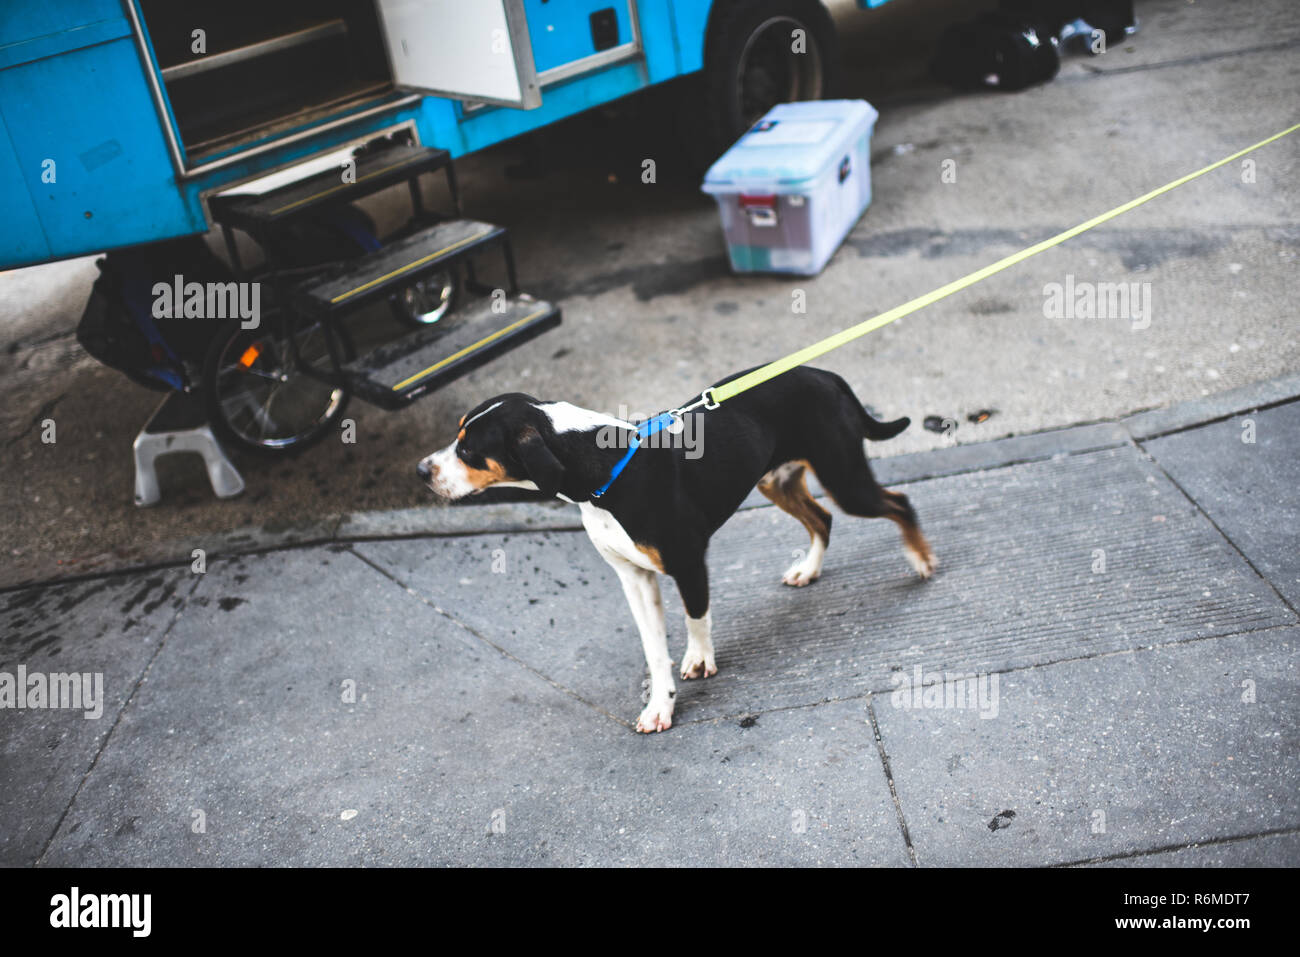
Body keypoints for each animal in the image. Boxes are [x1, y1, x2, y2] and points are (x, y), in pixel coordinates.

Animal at [416, 366, 935, 733]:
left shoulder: (688, 563)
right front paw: (659, 705)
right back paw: (809, 569)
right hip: (776, 480)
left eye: (469, 450)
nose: (420, 471)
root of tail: (826, 375)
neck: (606, 471)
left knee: (897, 503)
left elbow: (696, 619)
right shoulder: (634, 578)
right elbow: (653, 650)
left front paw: (700, 660)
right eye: (456, 436)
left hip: (845, 477)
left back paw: (921, 559)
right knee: (822, 519)